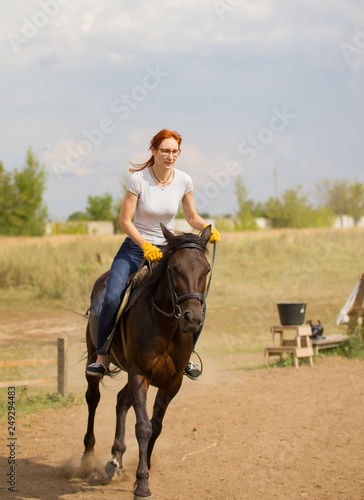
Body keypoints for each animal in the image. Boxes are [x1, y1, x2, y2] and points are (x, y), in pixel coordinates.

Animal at [83, 225, 212, 498]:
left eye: (206, 269)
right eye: (175, 268)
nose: (193, 318)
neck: (165, 325)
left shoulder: (171, 382)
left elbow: (156, 425)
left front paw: (144, 468)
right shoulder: (139, 374)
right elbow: (143, 426)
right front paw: (142, 483)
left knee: (121, 400)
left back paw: (115, 460)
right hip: (94, 358)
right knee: (93, 399)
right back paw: (87, 458)